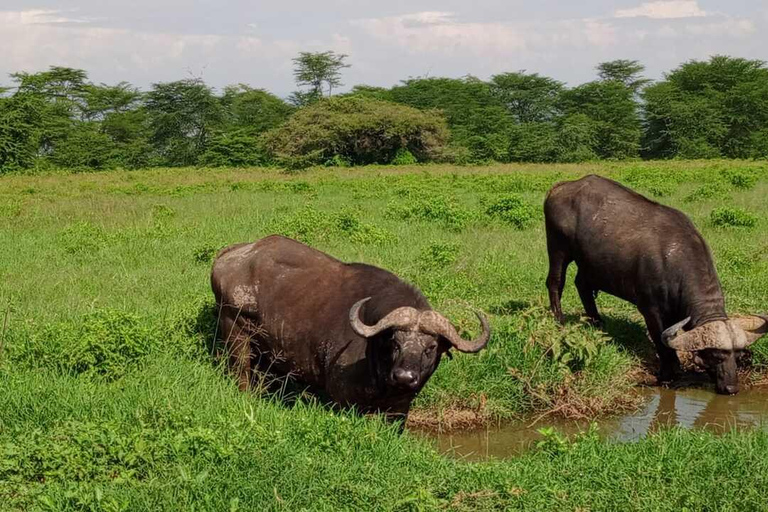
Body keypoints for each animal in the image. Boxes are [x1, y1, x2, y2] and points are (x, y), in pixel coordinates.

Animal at [208, 236, 492, 420]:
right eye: (395, 343)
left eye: (431, 347)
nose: (404, 376)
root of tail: (228, 256)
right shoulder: (343, 398)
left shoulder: (400, 408)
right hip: (235, 332)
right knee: (242, 371)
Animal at [544, 174, 764, 394]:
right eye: (716, 356)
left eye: (737, 356)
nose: (730, 388)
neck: (674, 261)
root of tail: (559, 188)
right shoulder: (650, 310)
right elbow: (661, 341)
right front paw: (667, 373)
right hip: (558, 249)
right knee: (555, 282)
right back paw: (559, 318)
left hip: (589, 264)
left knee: (582, 284)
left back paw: (597, 322)